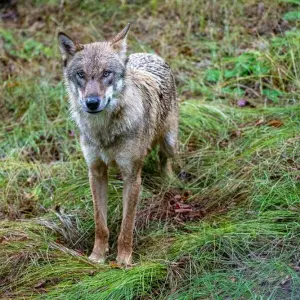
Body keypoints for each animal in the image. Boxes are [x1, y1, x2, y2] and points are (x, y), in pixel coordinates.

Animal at [57, 24, 177, 266]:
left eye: (106, 73)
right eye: (81, 75)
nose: (92, 102)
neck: (104, 131)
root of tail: (150, 55)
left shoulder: (132, 177)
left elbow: (126, 226)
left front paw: (123, 262)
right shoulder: (96, 172)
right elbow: (100, 224)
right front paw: (97, 257)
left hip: (169, 142)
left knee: (164, 158)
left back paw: (169, 181)